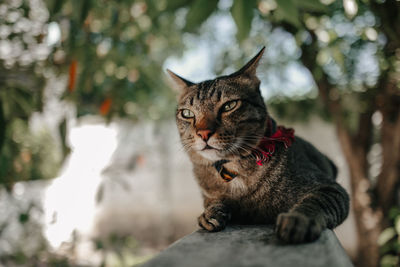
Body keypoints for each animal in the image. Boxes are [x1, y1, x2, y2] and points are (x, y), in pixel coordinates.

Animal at [167, 47, 348, 244]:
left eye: (229, 105)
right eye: (187, 113)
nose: (203, 133)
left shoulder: (330, 188)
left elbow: (314, 202)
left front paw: (298, 219)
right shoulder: (209, 196)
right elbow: (214, 202)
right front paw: (211, 213)